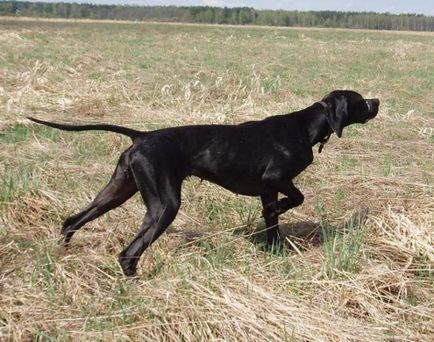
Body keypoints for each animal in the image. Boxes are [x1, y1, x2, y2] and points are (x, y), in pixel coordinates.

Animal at [28, 90, 380, 276]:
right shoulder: (277, 179)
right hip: (164, 205)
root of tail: (142, 137)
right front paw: (280, 212)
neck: (305, 126)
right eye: (360, 101)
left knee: (73, 220)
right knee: (128, 253)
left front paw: (274, 250)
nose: (377, 101)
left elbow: (272, 225)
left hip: (118, 190)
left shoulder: (267, 189)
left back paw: (62, 252)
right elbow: (296, 198)